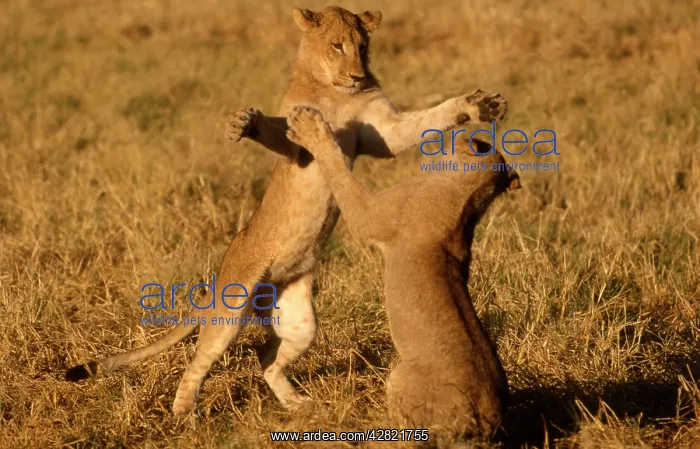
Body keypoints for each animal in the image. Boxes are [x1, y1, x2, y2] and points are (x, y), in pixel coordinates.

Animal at [66, 5, 508, 416]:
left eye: (363, 47)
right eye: (337, 46)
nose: (357, 76)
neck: (336, 90)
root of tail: (233, 274)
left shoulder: (383, 132)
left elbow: (426, 120)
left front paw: (478, 106)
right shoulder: (297, 147)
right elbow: (282, 133)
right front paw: (244, 124)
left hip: (299, 321)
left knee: (266, 356)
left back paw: (298, 404)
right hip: (232, 305)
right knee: (200, 359)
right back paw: (182, 410)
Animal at [286, 106, 519, 441]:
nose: (461, 125)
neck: (465, 194)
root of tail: (488, 419)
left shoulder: (371, 214)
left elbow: (338, 171)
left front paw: (310, 128)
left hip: (399, 377)